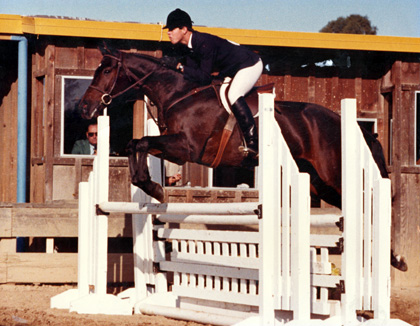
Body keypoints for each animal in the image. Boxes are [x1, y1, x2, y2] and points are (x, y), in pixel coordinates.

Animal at [79, 48, 406, 272]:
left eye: (105, 72)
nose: (84, 107)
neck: (179, 94)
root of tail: (345, 122)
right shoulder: (172, 148)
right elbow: (137, 144)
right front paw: (151, 187)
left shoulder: (187, 148)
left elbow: (142, 142)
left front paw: (155, 189)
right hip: (318, 184)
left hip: (334, 176)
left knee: (370, 205)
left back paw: (395, 259)